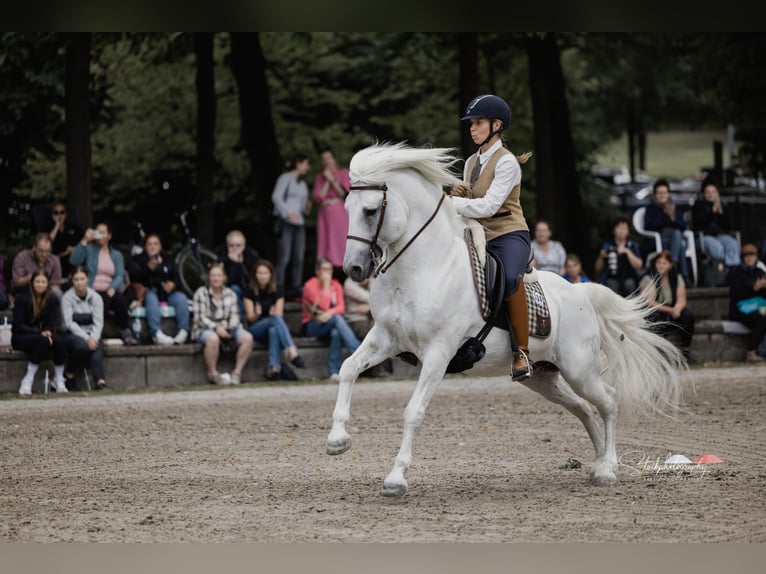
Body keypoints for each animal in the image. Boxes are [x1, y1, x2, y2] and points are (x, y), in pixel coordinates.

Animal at [326, 142, 686, 497]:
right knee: (583, 409)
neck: (422, 267)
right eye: (346, 208)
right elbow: (348, 369)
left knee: (608, 402)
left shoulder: (438, 352)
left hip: (580, 369)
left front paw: (396, 478)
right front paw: (337, 440)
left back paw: (608, 468)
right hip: (543, 377)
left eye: (370, 210)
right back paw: (597, 463)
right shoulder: (385, 338)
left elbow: (413, 410)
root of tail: (580, 292)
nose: (353, 269)